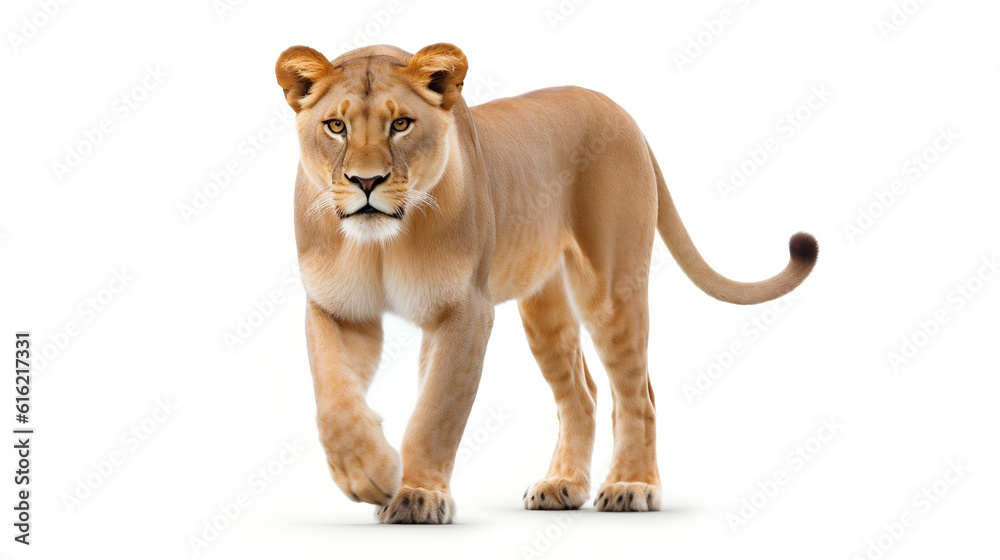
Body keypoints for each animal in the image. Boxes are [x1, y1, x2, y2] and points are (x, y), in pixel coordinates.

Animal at [275, 43, 818, 524]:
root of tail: (623, 113)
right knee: (583, 393)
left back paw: (632, 486)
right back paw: (563, 486)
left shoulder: (465, 311)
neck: (382, 243)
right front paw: (367, 473)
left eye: (401, 124)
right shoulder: (337, 308)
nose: (367, 181)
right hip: (543, 309)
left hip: (612, 290)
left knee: (637, 394)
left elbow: (436, 411)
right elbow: (333, 396)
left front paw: (416, 496)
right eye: (336, 126)